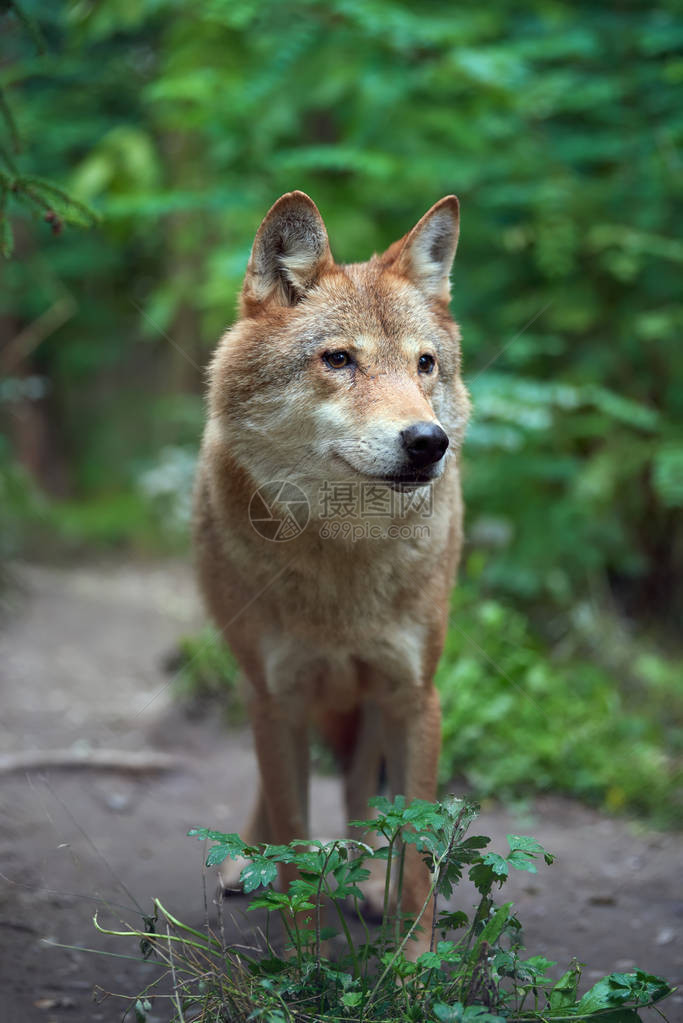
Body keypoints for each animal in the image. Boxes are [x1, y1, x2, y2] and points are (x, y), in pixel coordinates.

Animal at [192, 192, 470, 949]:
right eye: (339, 359)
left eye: (425, 364)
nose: (427, 441)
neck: (344, 559)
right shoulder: (277, 697)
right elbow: (292, 835)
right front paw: (303, 956)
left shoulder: (414, 695)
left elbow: (413, 847)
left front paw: (413, 960)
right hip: (260, 685)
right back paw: (245, 864)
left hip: (368, 703)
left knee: (358, 796)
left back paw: (367, 883)